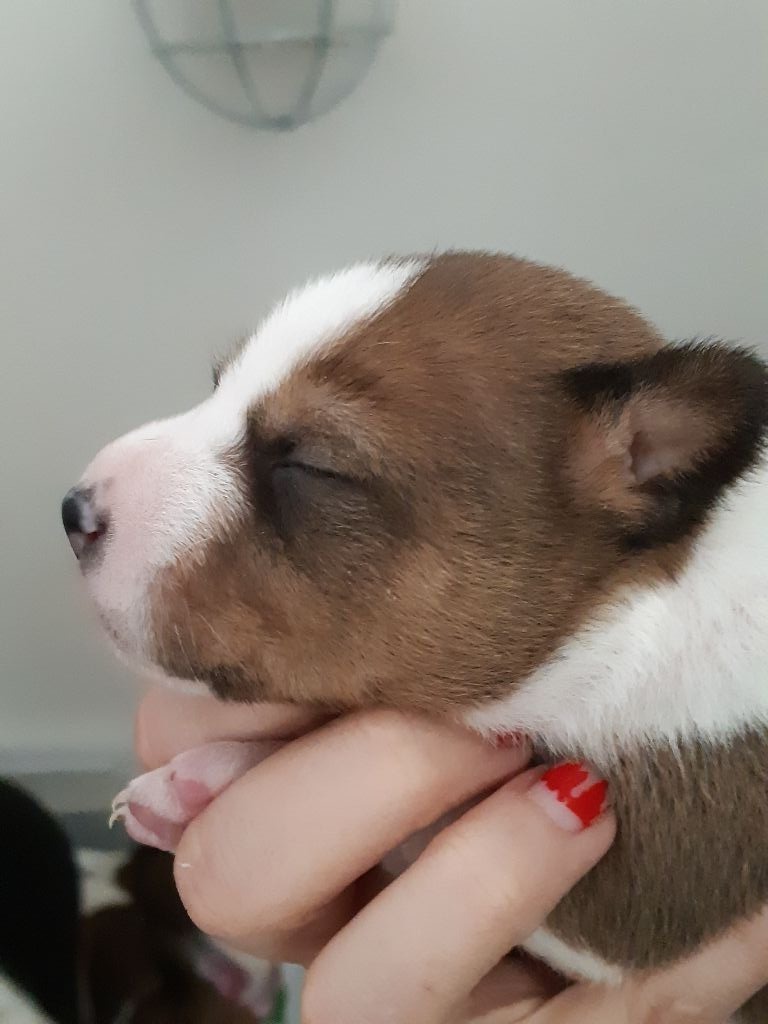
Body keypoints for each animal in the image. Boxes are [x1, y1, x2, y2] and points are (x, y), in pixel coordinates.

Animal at [62, 252, 768, 1021]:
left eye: (310, 464)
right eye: (216, 386)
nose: (74, 510)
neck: (637, 605)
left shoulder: (641, 888)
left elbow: (430, 825)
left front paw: (208, 777)